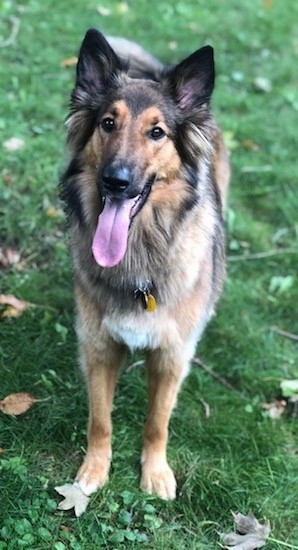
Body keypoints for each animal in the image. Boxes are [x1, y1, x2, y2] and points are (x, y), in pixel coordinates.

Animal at [59, 28, 229, 502]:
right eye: (107, 123)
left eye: (157, 132)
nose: (115, 181)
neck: (139, 257)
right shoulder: (98, 347)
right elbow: (100, 419)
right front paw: (93, 471)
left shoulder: (172, 356)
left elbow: (157, 423)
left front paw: (155, 472)